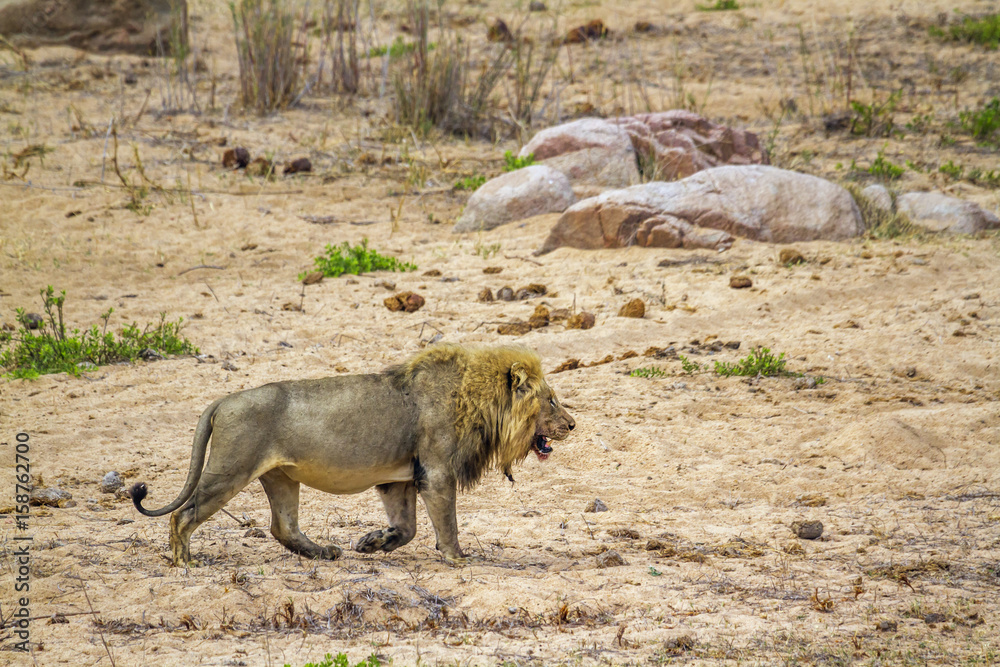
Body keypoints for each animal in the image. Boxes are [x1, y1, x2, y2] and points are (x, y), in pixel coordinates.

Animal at [130, 344, 575, 566]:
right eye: (551, 401)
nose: (572, 425)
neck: (480, 401)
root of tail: (222, 399)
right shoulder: (436, 473)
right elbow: (446, 524)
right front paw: (457, 559)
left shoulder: (398, 478)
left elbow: (407, 528)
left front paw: (372, 543)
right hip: (229, 470)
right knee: (182, 515)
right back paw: (185, 562)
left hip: (280, 476)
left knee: (282, 526)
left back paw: (326, 553)